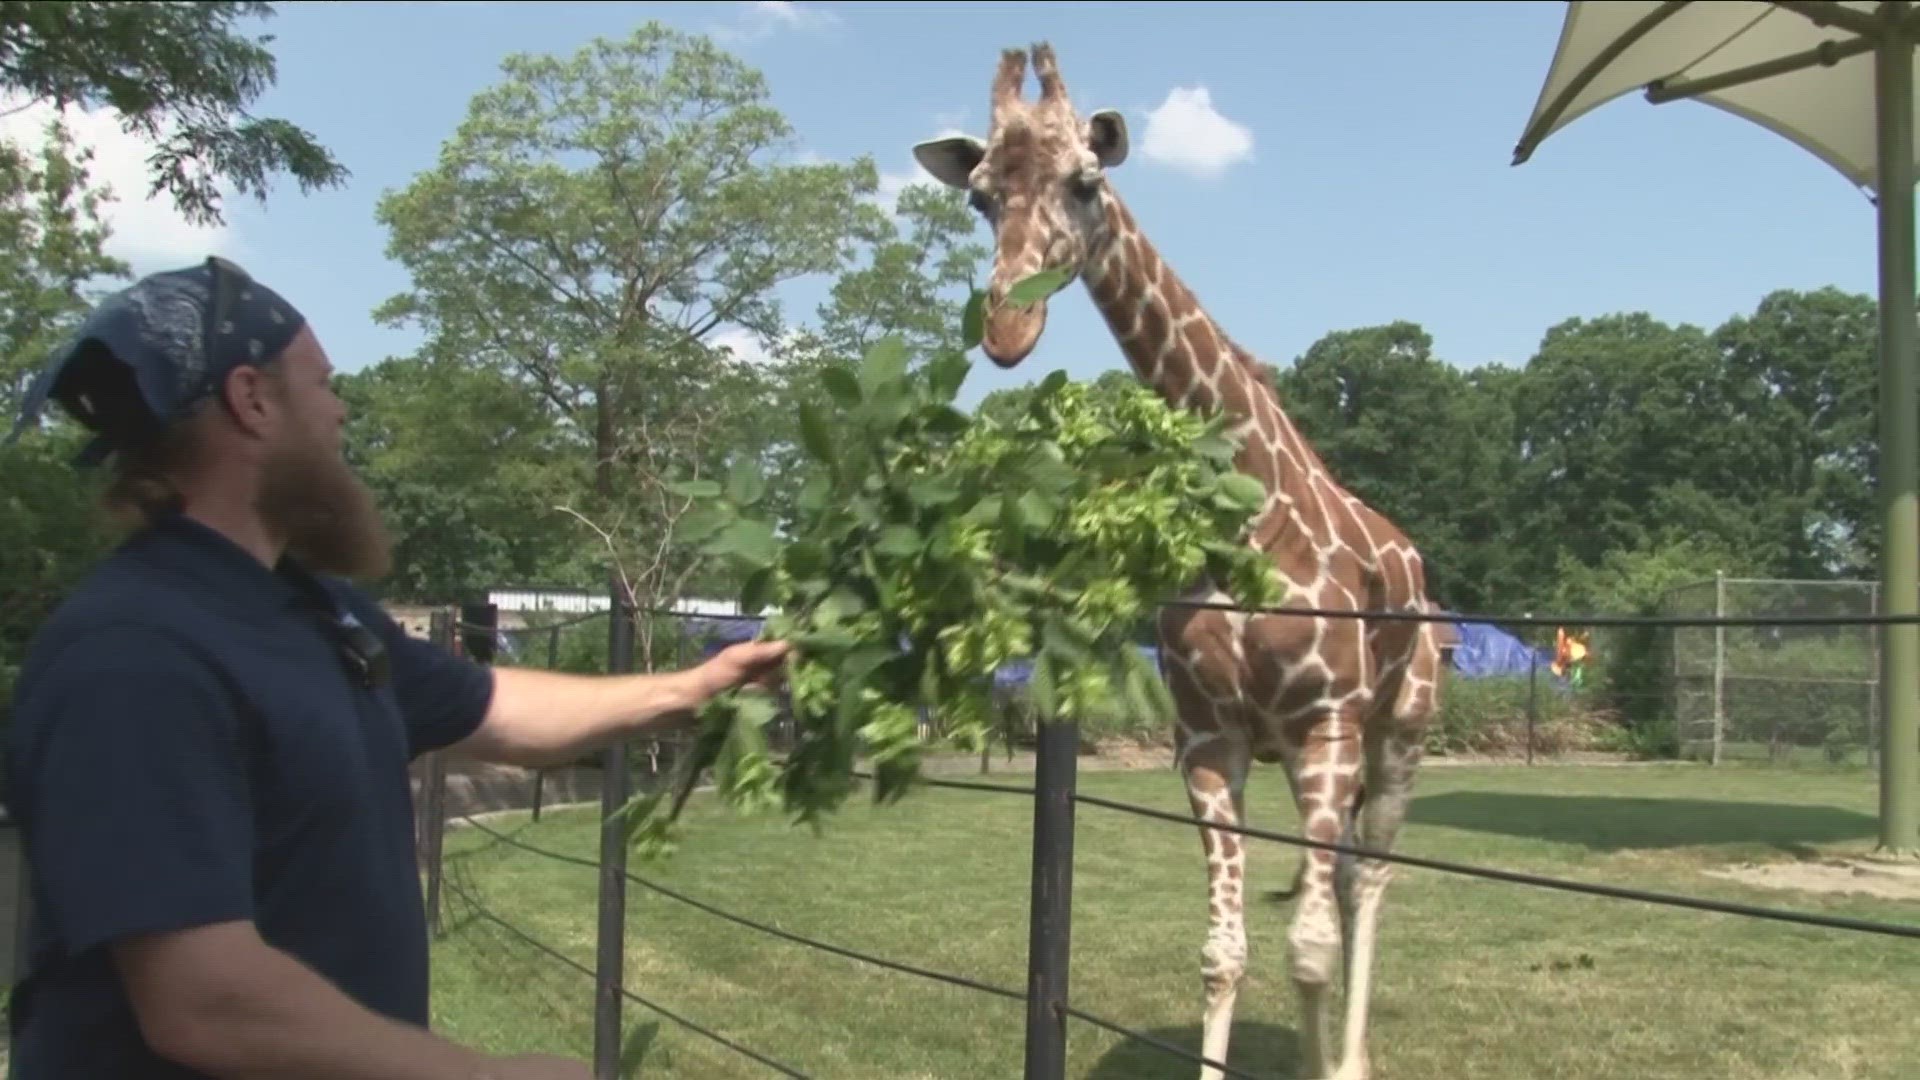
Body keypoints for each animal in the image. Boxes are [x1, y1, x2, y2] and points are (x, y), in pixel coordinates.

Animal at [921, 42, 1443, 1076]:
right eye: (982, 197)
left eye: (1085, 181)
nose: (1007, 330)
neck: (1249, 517)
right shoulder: (1209, 741)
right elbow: (1224, 951)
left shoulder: (1326, 723)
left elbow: (1307, 949)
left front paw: (1329, 1060)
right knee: (1343, 879)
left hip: (1398, 729)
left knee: (1369, 882)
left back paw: (1350, 1057)